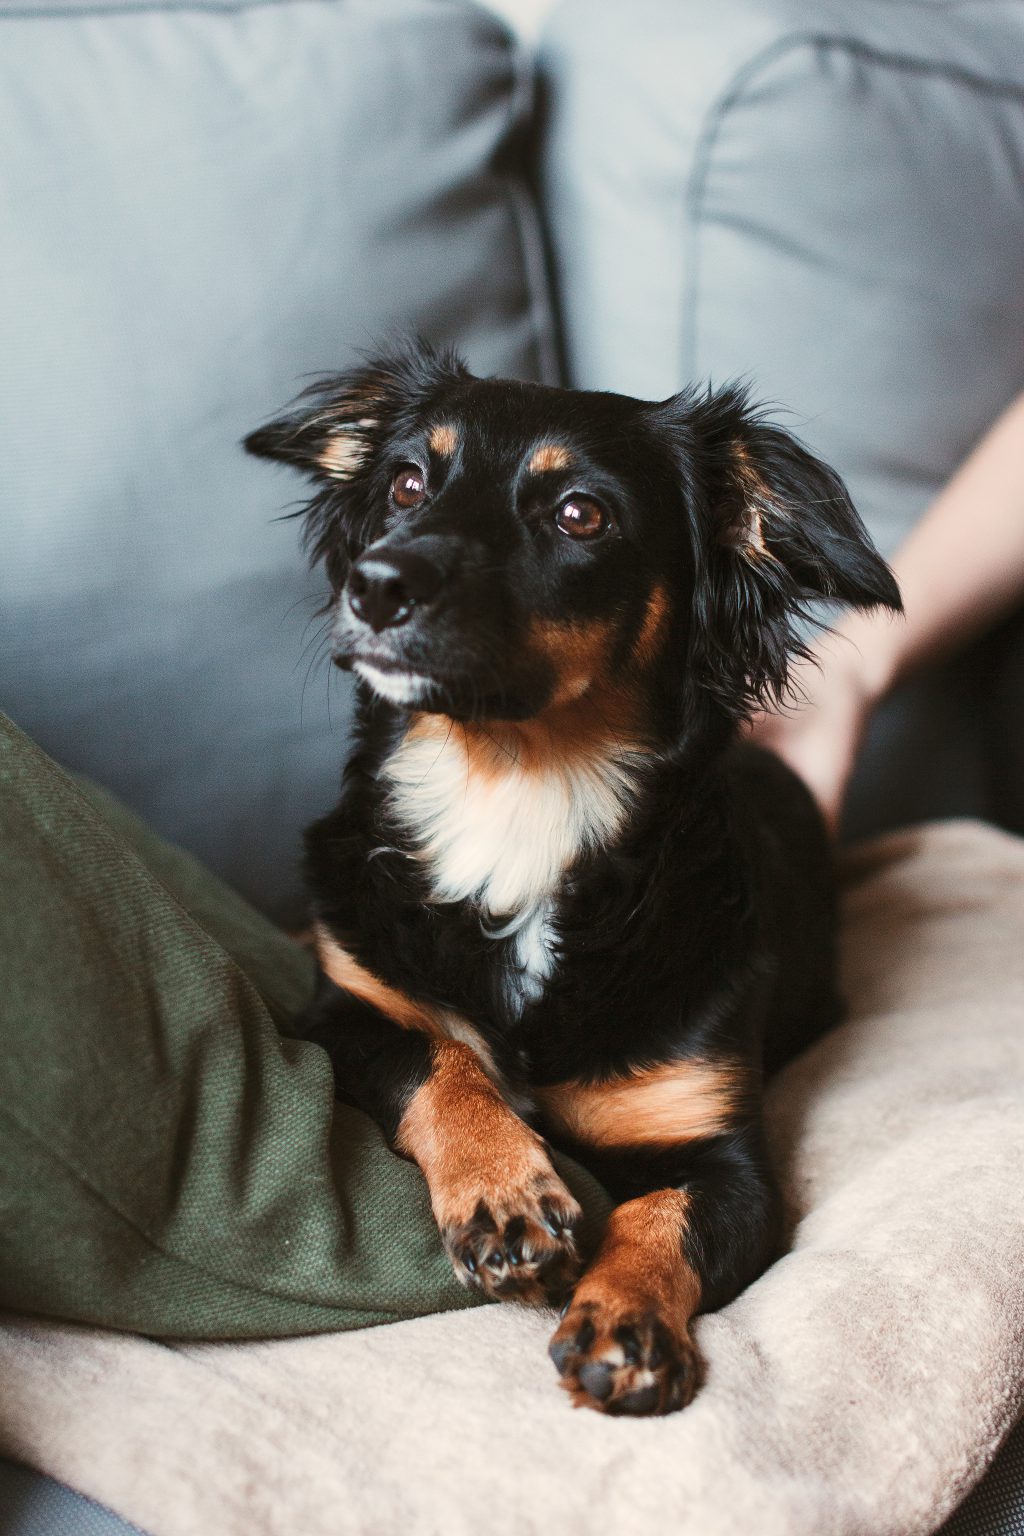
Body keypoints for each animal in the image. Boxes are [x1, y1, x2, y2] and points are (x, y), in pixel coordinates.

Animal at [244, 345, 902, 1413]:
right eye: (407, 484)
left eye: (579, 514)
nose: (376, 585)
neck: (517, 794)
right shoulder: (343, 1008)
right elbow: (440, 1056)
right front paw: (504, 1190)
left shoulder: (732, 1161)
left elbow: (660, 1215)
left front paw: (624, 1317)